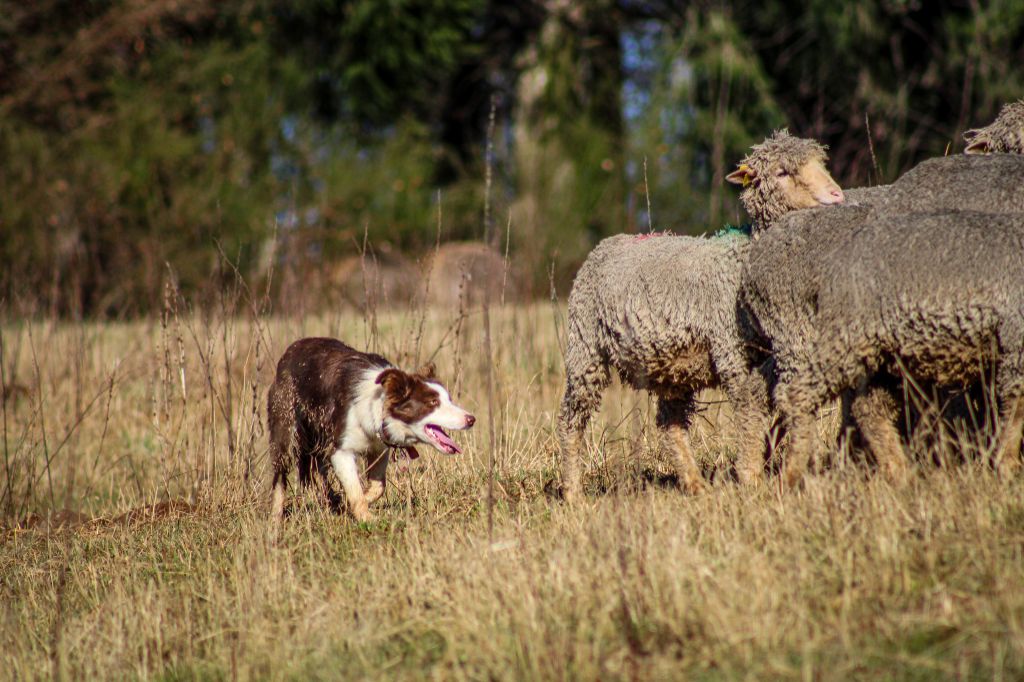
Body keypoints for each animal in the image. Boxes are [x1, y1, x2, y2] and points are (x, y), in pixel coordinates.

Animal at [264, 335, 471, 520]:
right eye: (433, 402)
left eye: (449, 400)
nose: (471, 419)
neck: (377, 407)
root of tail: (289, 352)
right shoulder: (341, 451)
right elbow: (356, 493)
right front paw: (367, 519)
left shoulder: (379, 448)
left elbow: (378, 487)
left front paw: (347, 504)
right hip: (286, 427)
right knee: (280, 476)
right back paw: (275, 522)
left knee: (317, 472)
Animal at [557, 129, 843, 499]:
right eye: (781, 172)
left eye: (821, 163)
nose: (837, 196)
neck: (744, 258)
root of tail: (606, 243)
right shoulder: (733, 353)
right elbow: (749, 413)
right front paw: (750, 477)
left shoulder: (775, 358)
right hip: (585, 348)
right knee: (571, 419)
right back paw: (572, 491)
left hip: (669, 366)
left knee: (670, 422)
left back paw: (694, 484)